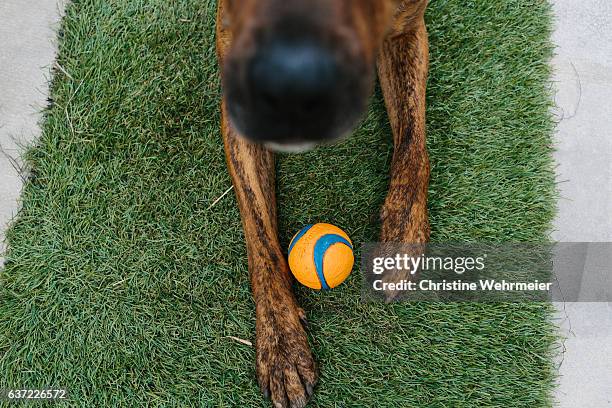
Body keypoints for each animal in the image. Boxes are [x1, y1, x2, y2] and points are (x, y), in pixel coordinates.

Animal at [218, 0, 428, 408]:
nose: (293, 80)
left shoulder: (406, 29)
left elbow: (413, 143)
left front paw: (403, 233)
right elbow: (260, 234)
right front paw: (282, 344)